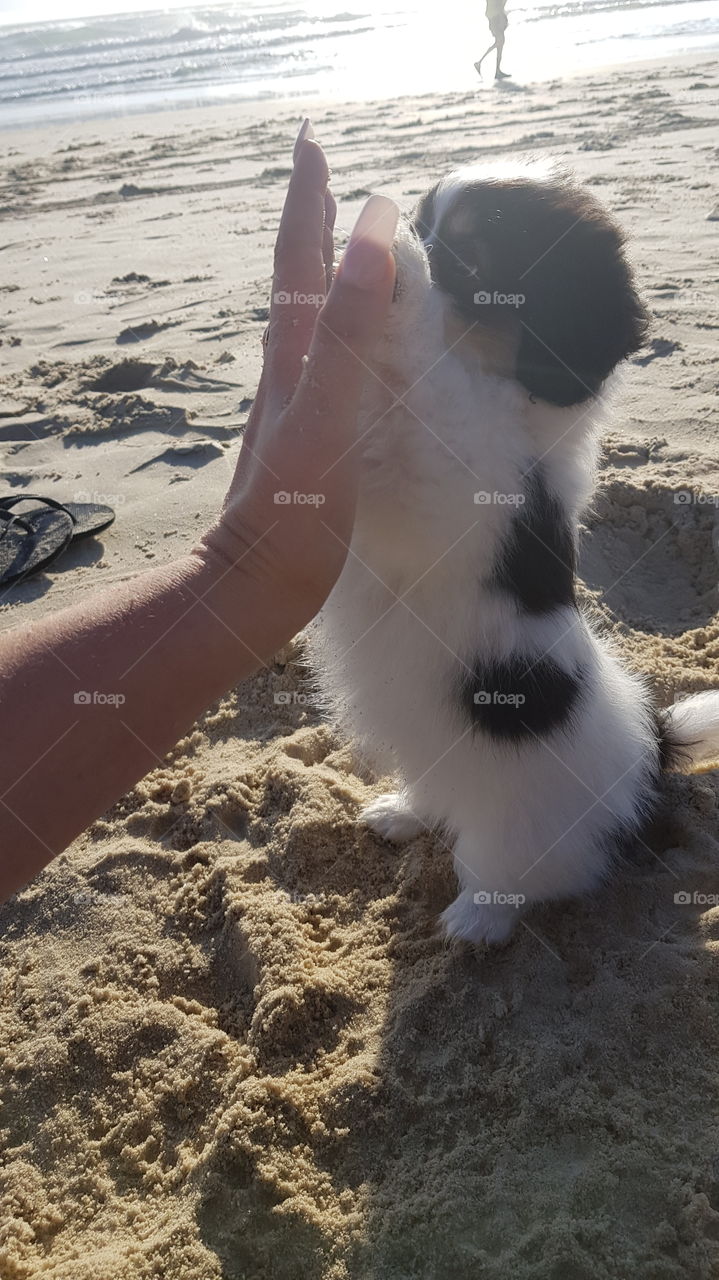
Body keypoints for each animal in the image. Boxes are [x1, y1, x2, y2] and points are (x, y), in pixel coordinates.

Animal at [307, 157, 716, 942]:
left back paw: (476, 920)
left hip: (519, 821)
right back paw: (403, 812)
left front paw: (393, 262)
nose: (409, 231)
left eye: (468, 262)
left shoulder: (467, 460)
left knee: (520, 872)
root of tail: (649, 755)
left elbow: (431, 386)